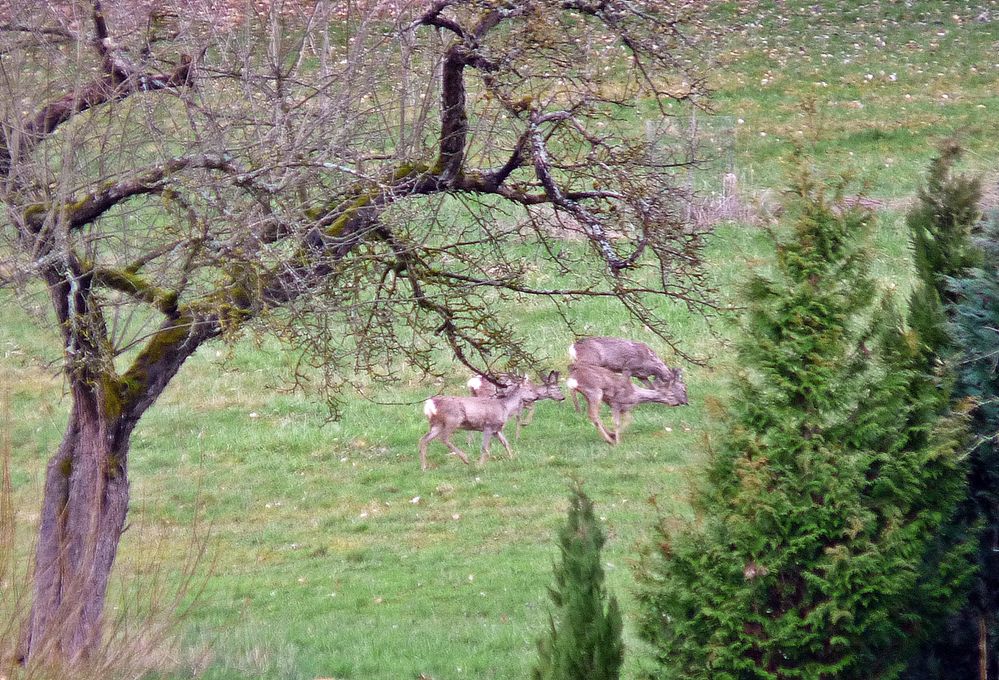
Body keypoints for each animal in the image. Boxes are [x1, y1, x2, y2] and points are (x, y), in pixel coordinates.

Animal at [418, 374, 568, 470]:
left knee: (423, 439)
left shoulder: (497, 429)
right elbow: (485, 448)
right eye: (529, 389)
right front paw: (479, 466)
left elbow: (506, 443)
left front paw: (513, 458)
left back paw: (424, 466)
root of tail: (429, 405)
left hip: (436, 425)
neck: (505, 407)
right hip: (452, 420)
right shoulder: (488, 426)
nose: (536, 396)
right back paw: (466, 459)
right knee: (444, 438)